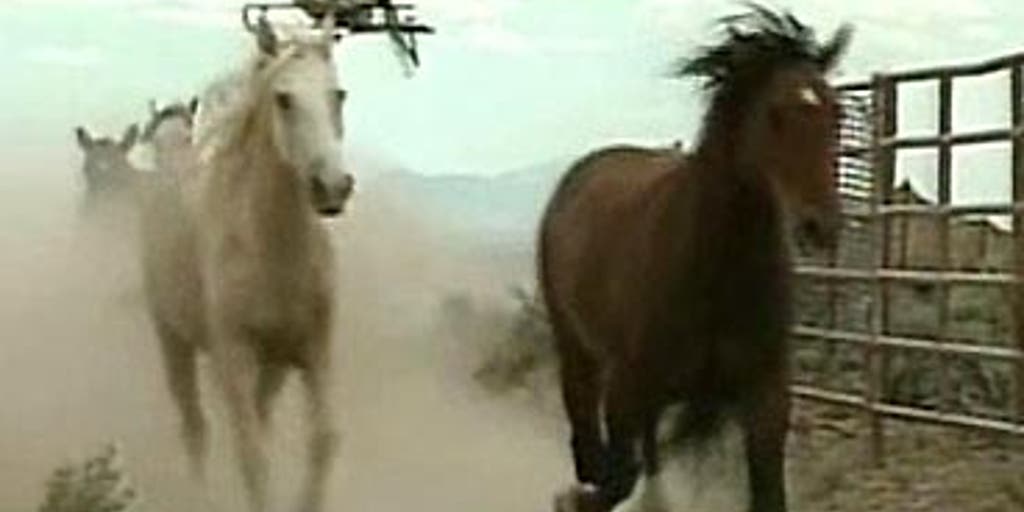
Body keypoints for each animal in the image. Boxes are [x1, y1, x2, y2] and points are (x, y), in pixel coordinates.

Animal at [143, 12, 354, 512]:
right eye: (284, 98)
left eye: (338, 94)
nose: (332, 187)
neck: (274, 253)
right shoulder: (234, 356)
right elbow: (252, 457)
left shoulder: (313, 351)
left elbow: (323, 440)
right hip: (173, 340)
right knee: (195, 426)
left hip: (271, 366)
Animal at [537, 6, 851, 512]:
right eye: (774, 114)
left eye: (836, 112)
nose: (820, 225)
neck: (711, 269)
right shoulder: (627, 387)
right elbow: (616, 477)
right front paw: (574, 498)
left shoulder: (765, 396)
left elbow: (768, 493)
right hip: (575, 346)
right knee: (585, 420)